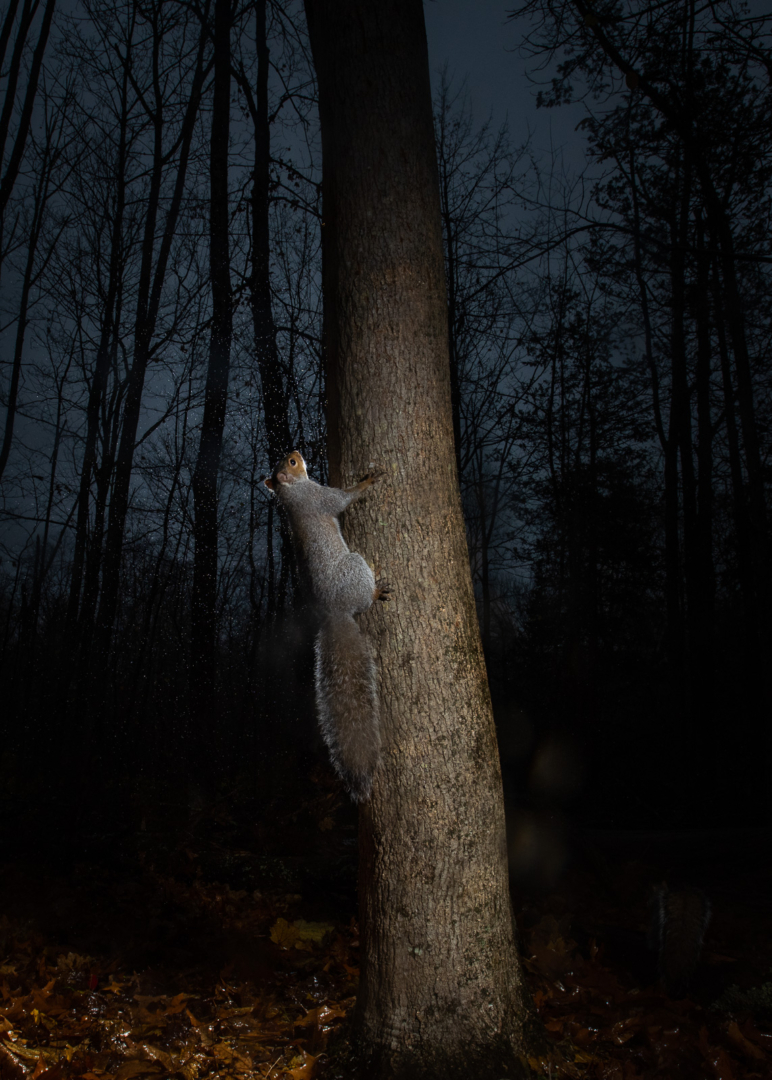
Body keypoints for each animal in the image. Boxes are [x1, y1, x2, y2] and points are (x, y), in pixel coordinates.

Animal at [264, 450, 391, 801]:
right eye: (292, 464)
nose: (296, 452)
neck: (293, 494)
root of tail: (336, 613)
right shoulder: (320, 498)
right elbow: (344, 499)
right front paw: (367, 482)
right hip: (355, 566)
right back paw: (375, 591)